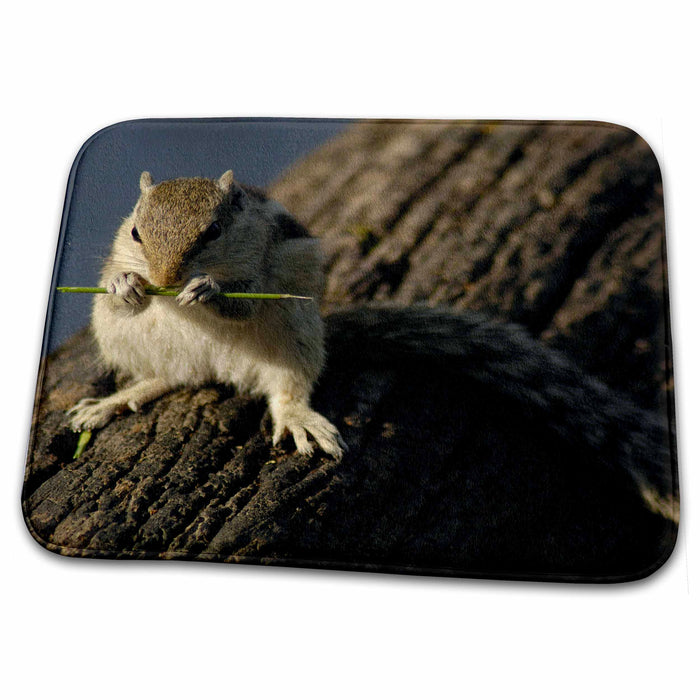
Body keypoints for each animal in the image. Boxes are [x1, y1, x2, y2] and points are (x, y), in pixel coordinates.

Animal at [67, 171, 346, 460]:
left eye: (214, 231)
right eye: (135, 232)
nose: (164, 280)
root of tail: (216, 367)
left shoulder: (256, 268)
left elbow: (245, 306)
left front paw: (207, 289)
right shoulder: (119, 261)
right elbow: (118, 301)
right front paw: (124, 284)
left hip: (296, 337)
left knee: (288, 391)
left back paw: (298, 418)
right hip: (121, 338)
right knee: (167, 376)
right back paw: (111, 402)